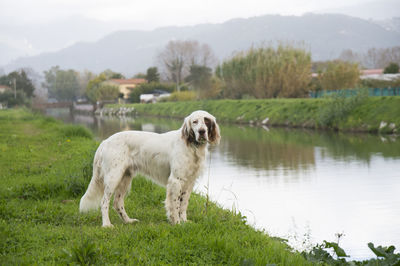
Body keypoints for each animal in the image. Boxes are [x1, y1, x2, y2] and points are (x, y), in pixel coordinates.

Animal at [79, 110, 220, 227]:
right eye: (195, 122)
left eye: (206, 121)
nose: (202, 131)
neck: (191, 146)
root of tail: (105, 141)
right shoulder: (176, 180)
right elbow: (174, 205)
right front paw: (176, 222)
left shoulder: (189, 182)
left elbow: (183, 204)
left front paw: (184, 221)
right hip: (114, 176)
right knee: (104, 202)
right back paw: (107, 224)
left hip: (125, 178)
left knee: (117, 203)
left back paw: (128, 221)